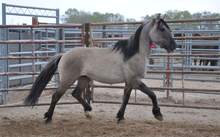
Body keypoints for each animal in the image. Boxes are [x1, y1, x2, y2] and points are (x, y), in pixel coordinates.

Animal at [24, 14, 176, 123]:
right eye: (162, 29)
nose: (173, 46)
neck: (133, 54)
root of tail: (64, 55)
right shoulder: (134, 80)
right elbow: (151, 94)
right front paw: (158, 114)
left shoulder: (130, 82)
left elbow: (127, 98)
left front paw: (120, 116)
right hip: (68, 80)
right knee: (56, 95)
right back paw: (48, 117)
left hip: (84, 79)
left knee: (76, 94)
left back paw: (88, 110)